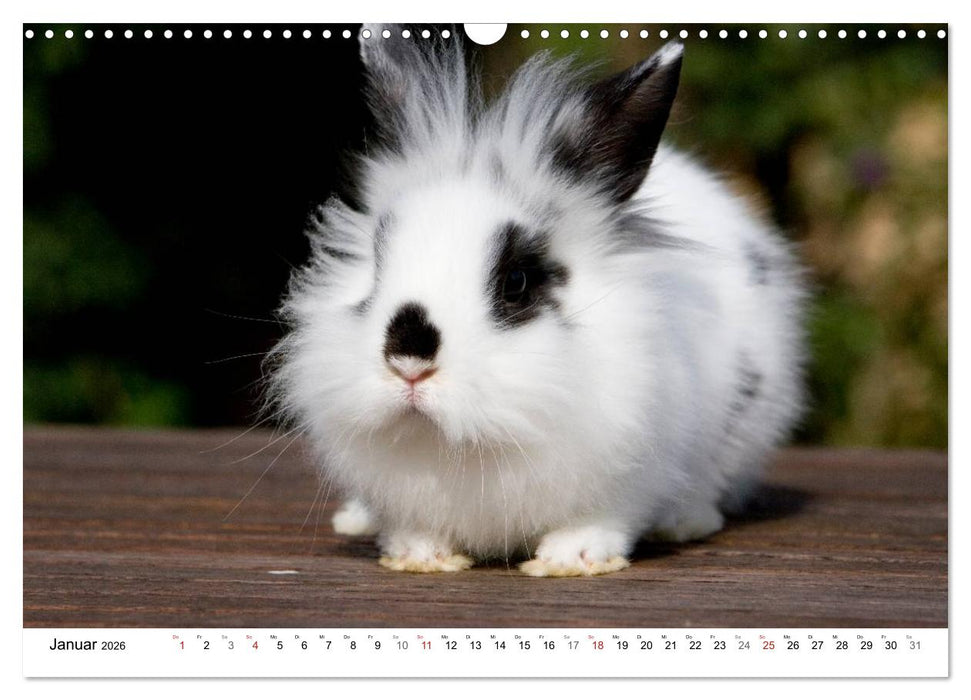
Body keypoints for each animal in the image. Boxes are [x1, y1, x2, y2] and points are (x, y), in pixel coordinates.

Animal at [267, 24, 807, 577]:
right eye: (376, 265)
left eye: (517, 282)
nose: (409, 362)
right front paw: (420, 553)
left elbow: (603, 519)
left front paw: (574, 557)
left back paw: (684, 521)